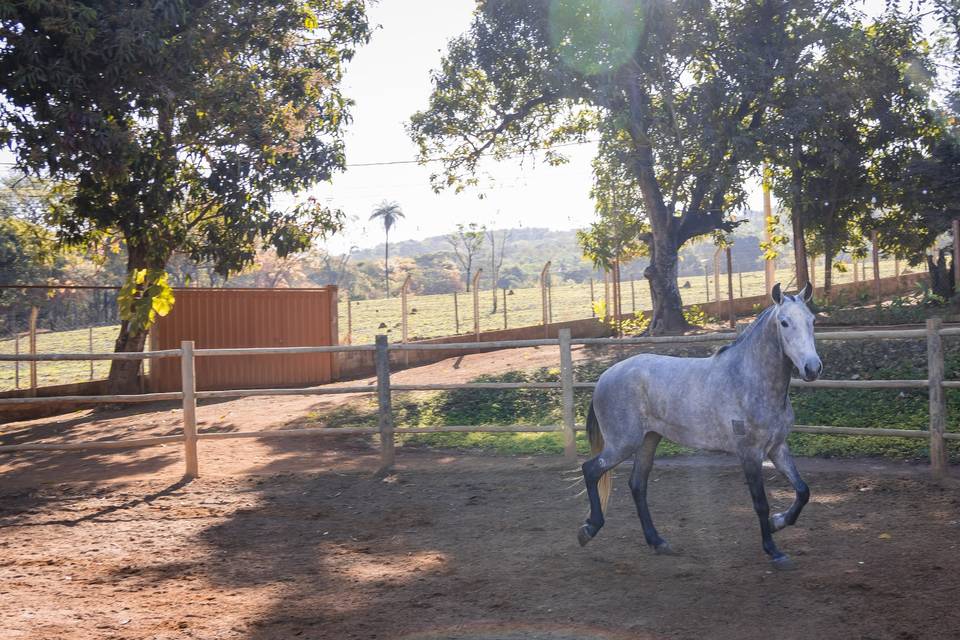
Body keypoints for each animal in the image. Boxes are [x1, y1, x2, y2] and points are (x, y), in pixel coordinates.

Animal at [580, 282, 820, 568]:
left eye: (812, 320)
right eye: (784, 322)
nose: (812, 368)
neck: (749, 380)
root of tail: (604, 377)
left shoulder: (777, 447)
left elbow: (803, 491)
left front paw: (778, 523)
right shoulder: (749, 453)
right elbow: (761, 503)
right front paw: (774, 550)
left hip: (649, 439)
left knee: (637, 485)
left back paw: (658, 542)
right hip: (622, 444)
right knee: (591, 470)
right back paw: (589, 529)